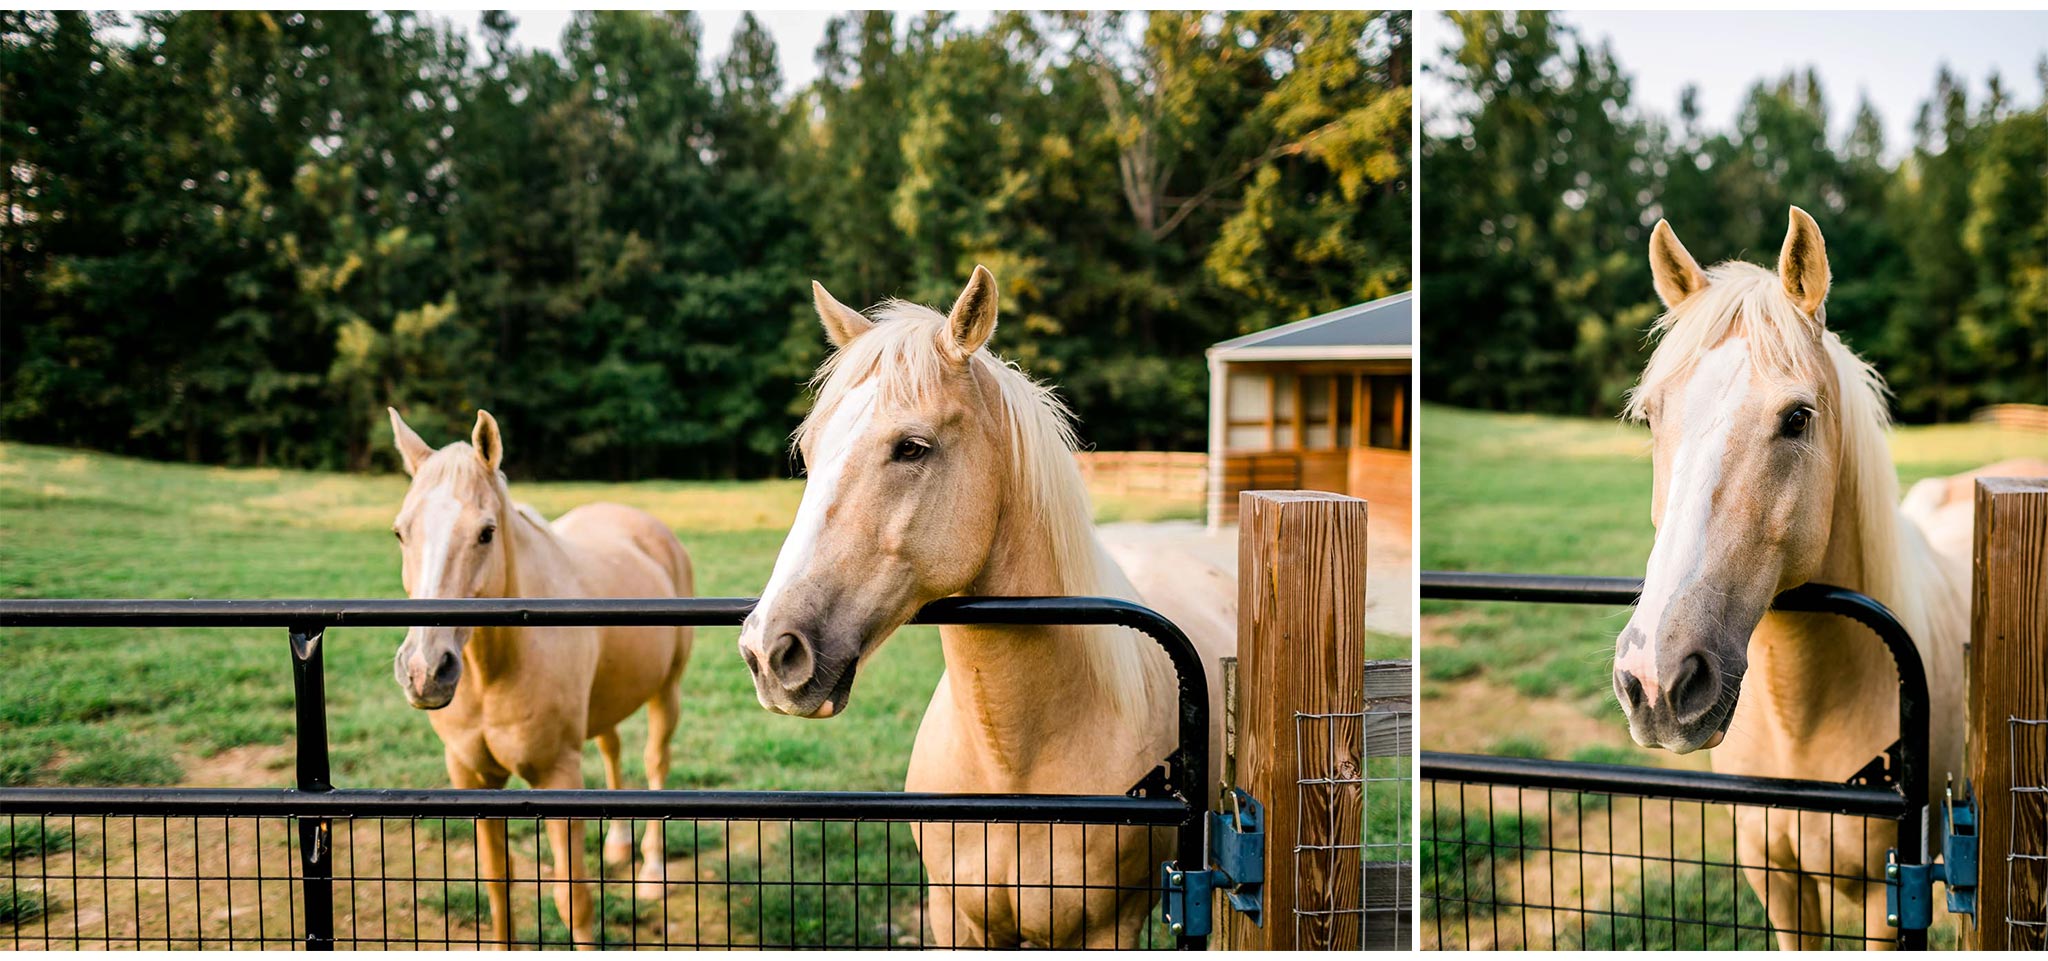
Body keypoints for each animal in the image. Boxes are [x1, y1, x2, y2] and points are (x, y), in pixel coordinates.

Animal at [385, 403, 696, 942]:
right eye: (402, 532)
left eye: (486, 532)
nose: (425, 670)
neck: (495, 670)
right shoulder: (472, 777)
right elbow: (498, 887)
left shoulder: (557, 775)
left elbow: (573, 901)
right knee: (613, 748)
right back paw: (617, 845)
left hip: (667, 692)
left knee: (656, 762)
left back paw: (652, 873)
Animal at [737, 264, 1228, 942]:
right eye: (810, 454)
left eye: (912, 447)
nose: (768, 650)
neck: (1011, 769)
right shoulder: (954, 916)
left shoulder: (1110, 928)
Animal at [1605, 205, 2039, 946]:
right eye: (1652, 416)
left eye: (1798, 417)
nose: (1657, 682)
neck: (1799, 727)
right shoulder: (1776, 881)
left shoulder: (1885, 897)